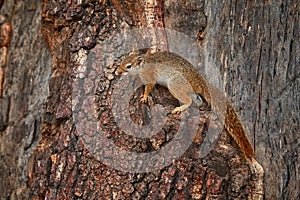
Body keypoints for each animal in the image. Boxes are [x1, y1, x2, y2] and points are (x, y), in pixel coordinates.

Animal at [117, 50, 255, 162]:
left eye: (128, 66)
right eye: (122, 61)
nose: (118, 72)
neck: (143, 64)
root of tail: (200, 83)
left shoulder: (149, 75)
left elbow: (150, 86)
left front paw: (144, 96)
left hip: (176, 83)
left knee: (188, 100)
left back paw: (180, 108)